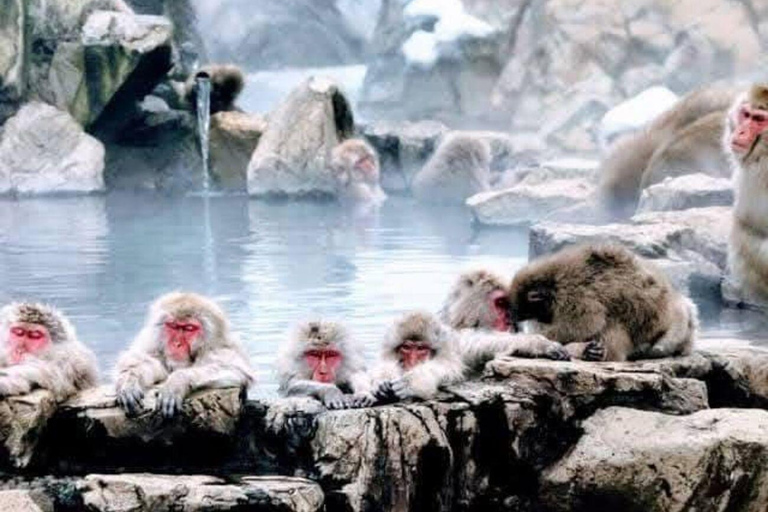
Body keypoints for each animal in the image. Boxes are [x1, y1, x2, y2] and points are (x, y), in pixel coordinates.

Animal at [114, 292, 255, 418]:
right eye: (173, 326)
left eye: (189, 328)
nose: (177, 344)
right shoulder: (153, 345)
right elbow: (144, 361)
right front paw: (129, 381)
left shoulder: (220, 350)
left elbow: (236, 370)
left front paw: (177, 382)